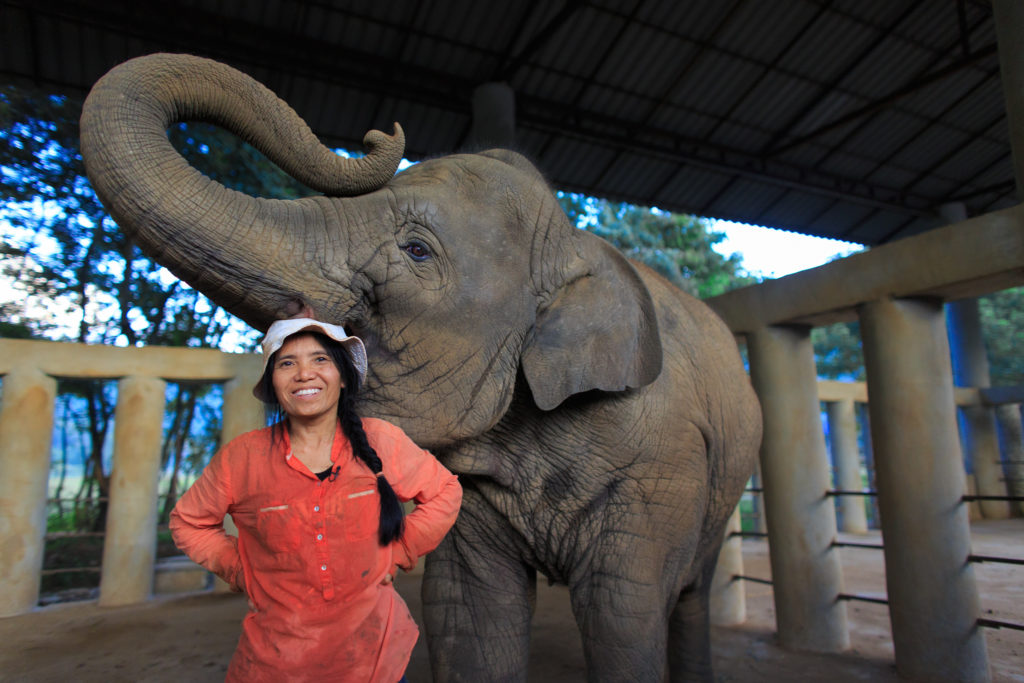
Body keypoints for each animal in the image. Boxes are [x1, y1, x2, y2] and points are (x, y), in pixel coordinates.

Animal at [79, 54, 761, 683]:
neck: (574, 246)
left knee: (688, 597)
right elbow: (473, 618)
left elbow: (622, 621)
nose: (380, 135)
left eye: (416, 251)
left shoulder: (663, 468)